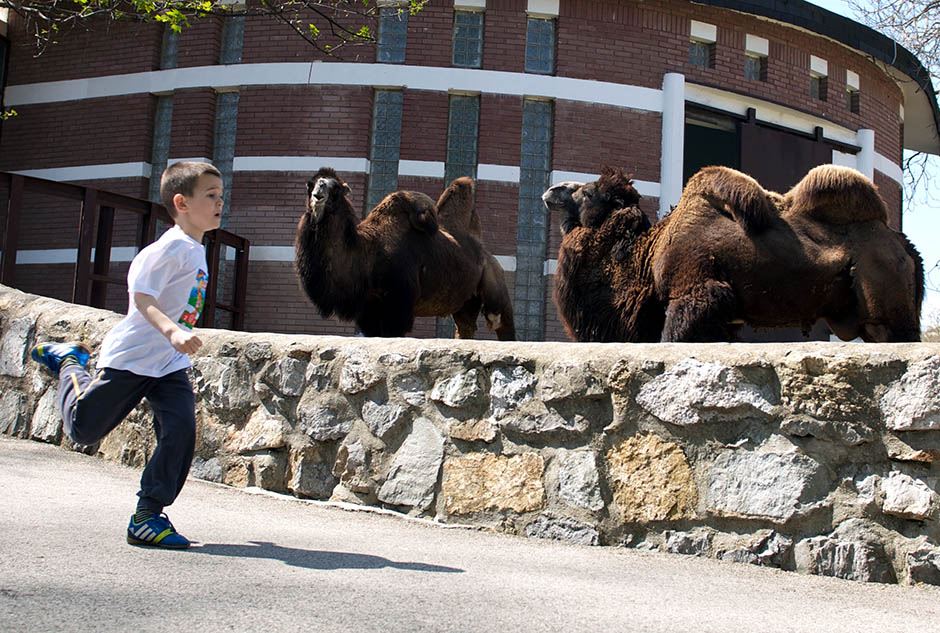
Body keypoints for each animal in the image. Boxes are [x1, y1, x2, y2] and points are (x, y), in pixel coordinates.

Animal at [294, 165, 516, 338]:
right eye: (311, 184)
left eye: (336, 188)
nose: (319, 189)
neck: (368, 254)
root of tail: (486, 254)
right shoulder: (368, 309)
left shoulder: (399, 305)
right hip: (466, 302)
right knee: (466, 327)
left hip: (496, 286)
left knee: (502, 322)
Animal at [544, 163, 924, 340]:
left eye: (588, 193)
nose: (552, 190)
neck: (647, 254)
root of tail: (903, 246)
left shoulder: (696, 292)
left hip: (884, 308)